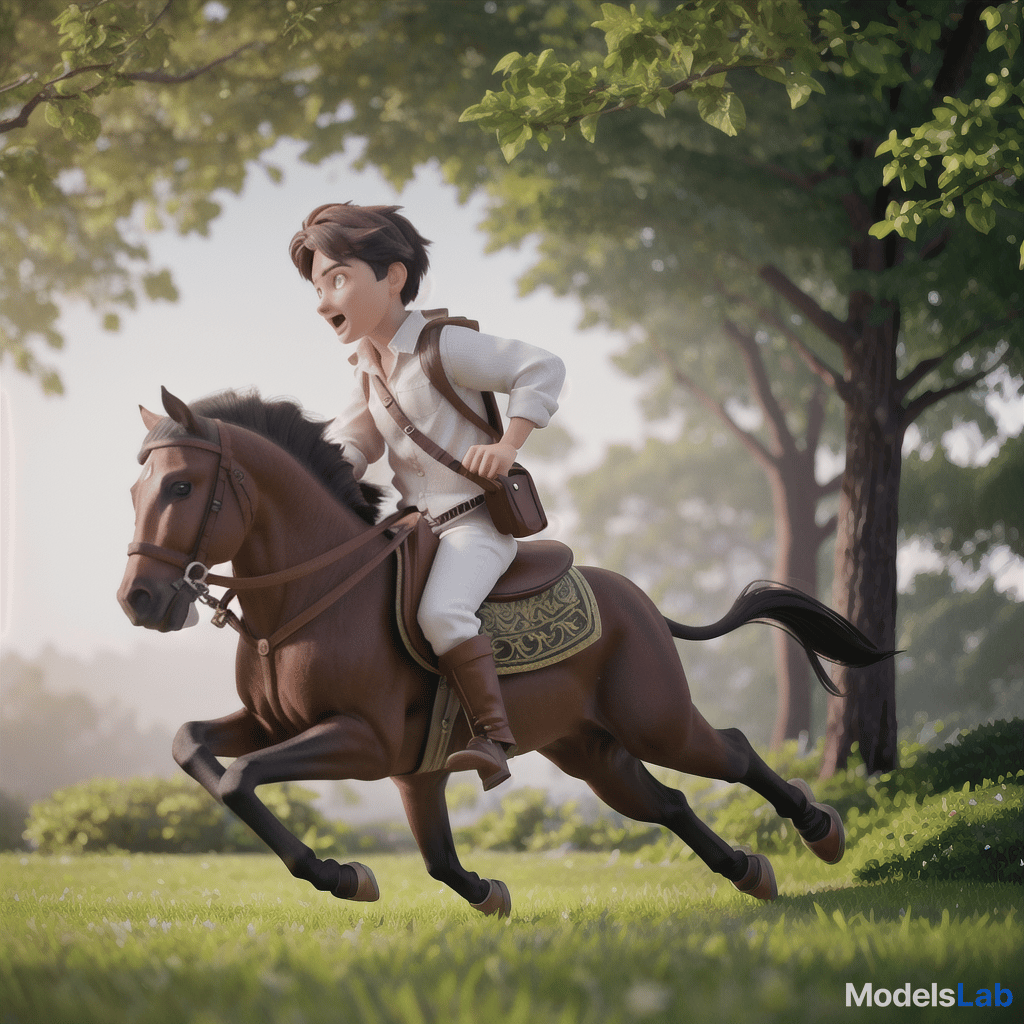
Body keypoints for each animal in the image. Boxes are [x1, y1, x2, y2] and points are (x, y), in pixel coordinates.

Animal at [117, 387, 888, 917]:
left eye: (181, 485)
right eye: (135, 488)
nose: (139, 601)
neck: (316, 595)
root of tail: (640, 603)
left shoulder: (362, 741)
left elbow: (238, 778)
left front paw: (343, 875)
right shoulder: (330, 741)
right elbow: (194, 746)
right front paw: (479, 891)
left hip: (656, 723)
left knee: (731, 749)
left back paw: (820, 831)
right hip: (591, 750)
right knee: (666, 801)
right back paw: (749, 871)